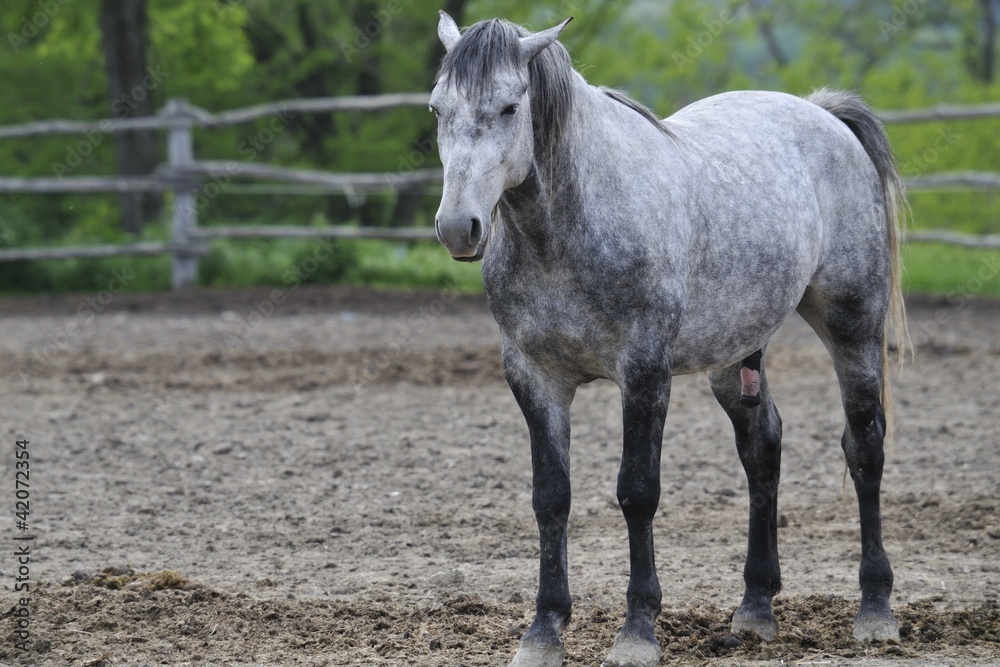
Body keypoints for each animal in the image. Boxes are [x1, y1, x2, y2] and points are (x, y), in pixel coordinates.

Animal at [430, 11, 908, 667]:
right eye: (436, 109)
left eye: (507, 107)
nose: (459, 227)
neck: (568, 227)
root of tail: (824, 114)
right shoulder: (534, 376)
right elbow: (551, 497)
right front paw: (543, 631)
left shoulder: (644, 371)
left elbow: (637, 492)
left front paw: (637, 631)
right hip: (732, 357)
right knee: (763, 449)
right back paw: (755, 610)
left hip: (852, 326)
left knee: (864, 448)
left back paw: (875, 610)